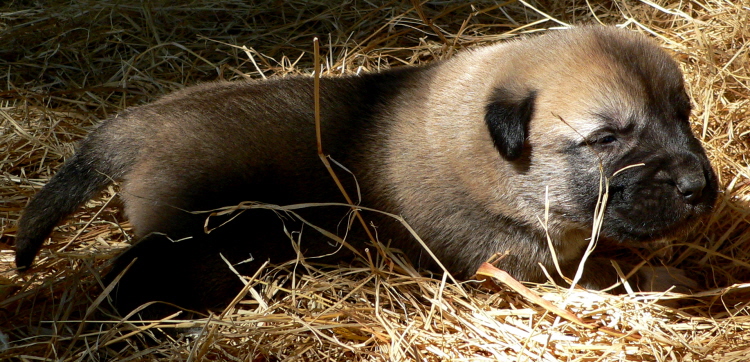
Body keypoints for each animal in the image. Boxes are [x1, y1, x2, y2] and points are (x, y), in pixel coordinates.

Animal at [13, 26, 716, 314]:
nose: (699, 189)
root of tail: (137, 125)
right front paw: (672, 280)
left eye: (683, 114)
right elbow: (607, 277)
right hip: (192, 236)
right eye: (605, 139)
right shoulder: (518, 269)